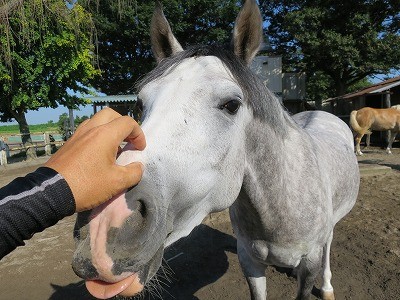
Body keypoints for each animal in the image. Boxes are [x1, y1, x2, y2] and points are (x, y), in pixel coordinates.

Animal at [71, 1, 360, 298]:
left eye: (232, 105)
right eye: (140, 104)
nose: (104, 225)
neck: (281, 202)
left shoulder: (309, 262)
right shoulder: (250, 261)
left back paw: (327, 286)